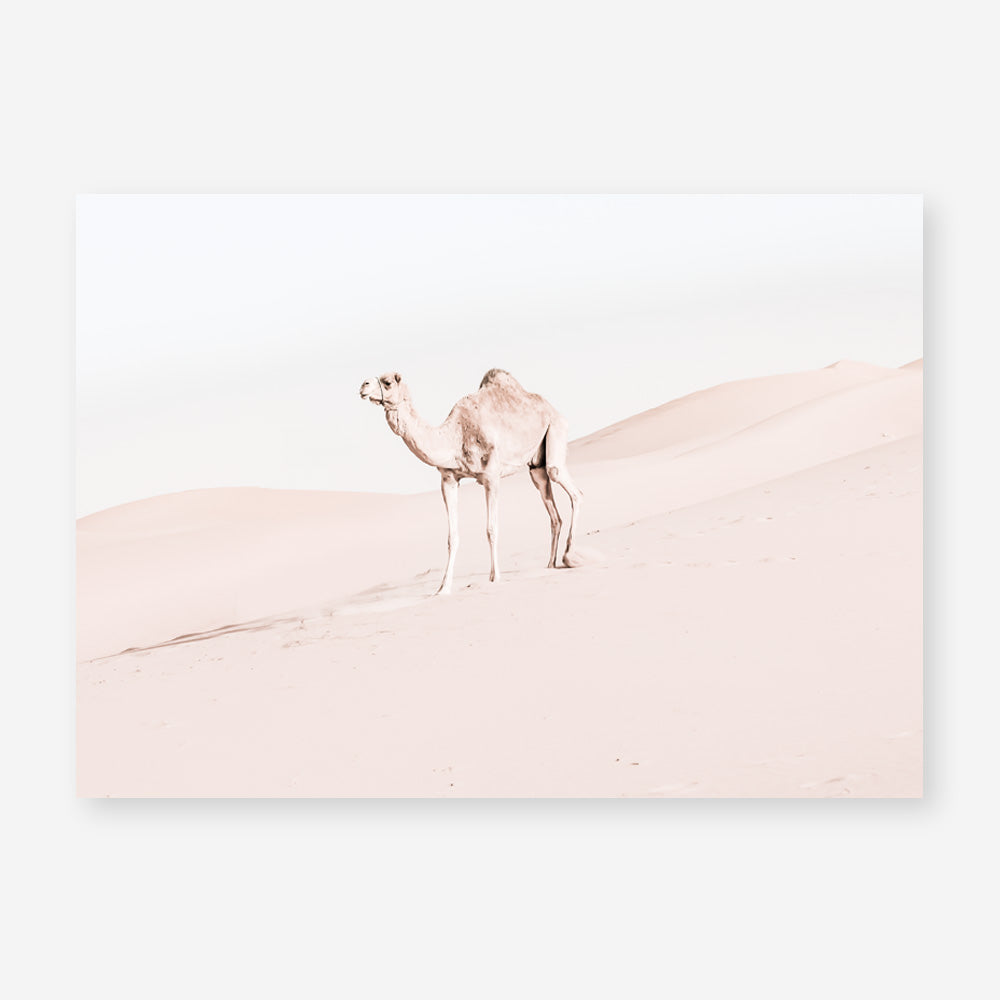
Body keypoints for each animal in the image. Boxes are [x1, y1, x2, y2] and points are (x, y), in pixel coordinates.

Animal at [359, 368, 583, 595]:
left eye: (387, 382)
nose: (363, 386)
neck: (455, 437)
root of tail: (554, 409)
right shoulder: (448, 479)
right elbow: (452, 536)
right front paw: (443, 587)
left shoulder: (491, 476)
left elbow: (491, 529)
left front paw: (495, 578)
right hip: (536, 467)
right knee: (553, 510)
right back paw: (551, 564)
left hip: (555, 429)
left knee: (567, 484)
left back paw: (571, 556)